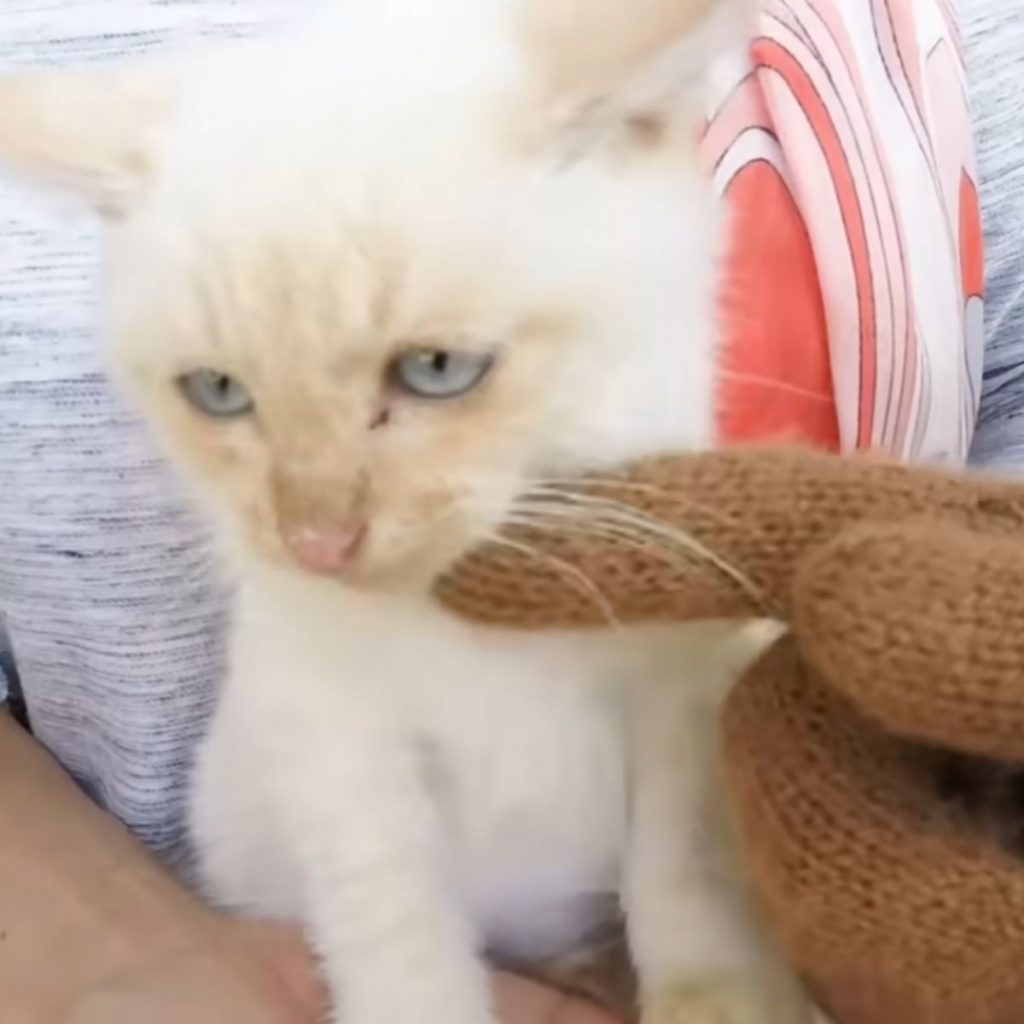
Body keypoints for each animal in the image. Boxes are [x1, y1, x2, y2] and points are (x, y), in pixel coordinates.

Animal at [0, 2, 806, 1024]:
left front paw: (721, 997)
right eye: (219, 392)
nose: (315, 541)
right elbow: (397, 937)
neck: (481, 610)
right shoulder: (336, 744)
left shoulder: (681, 677)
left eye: (436, 371)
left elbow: (689, 866)